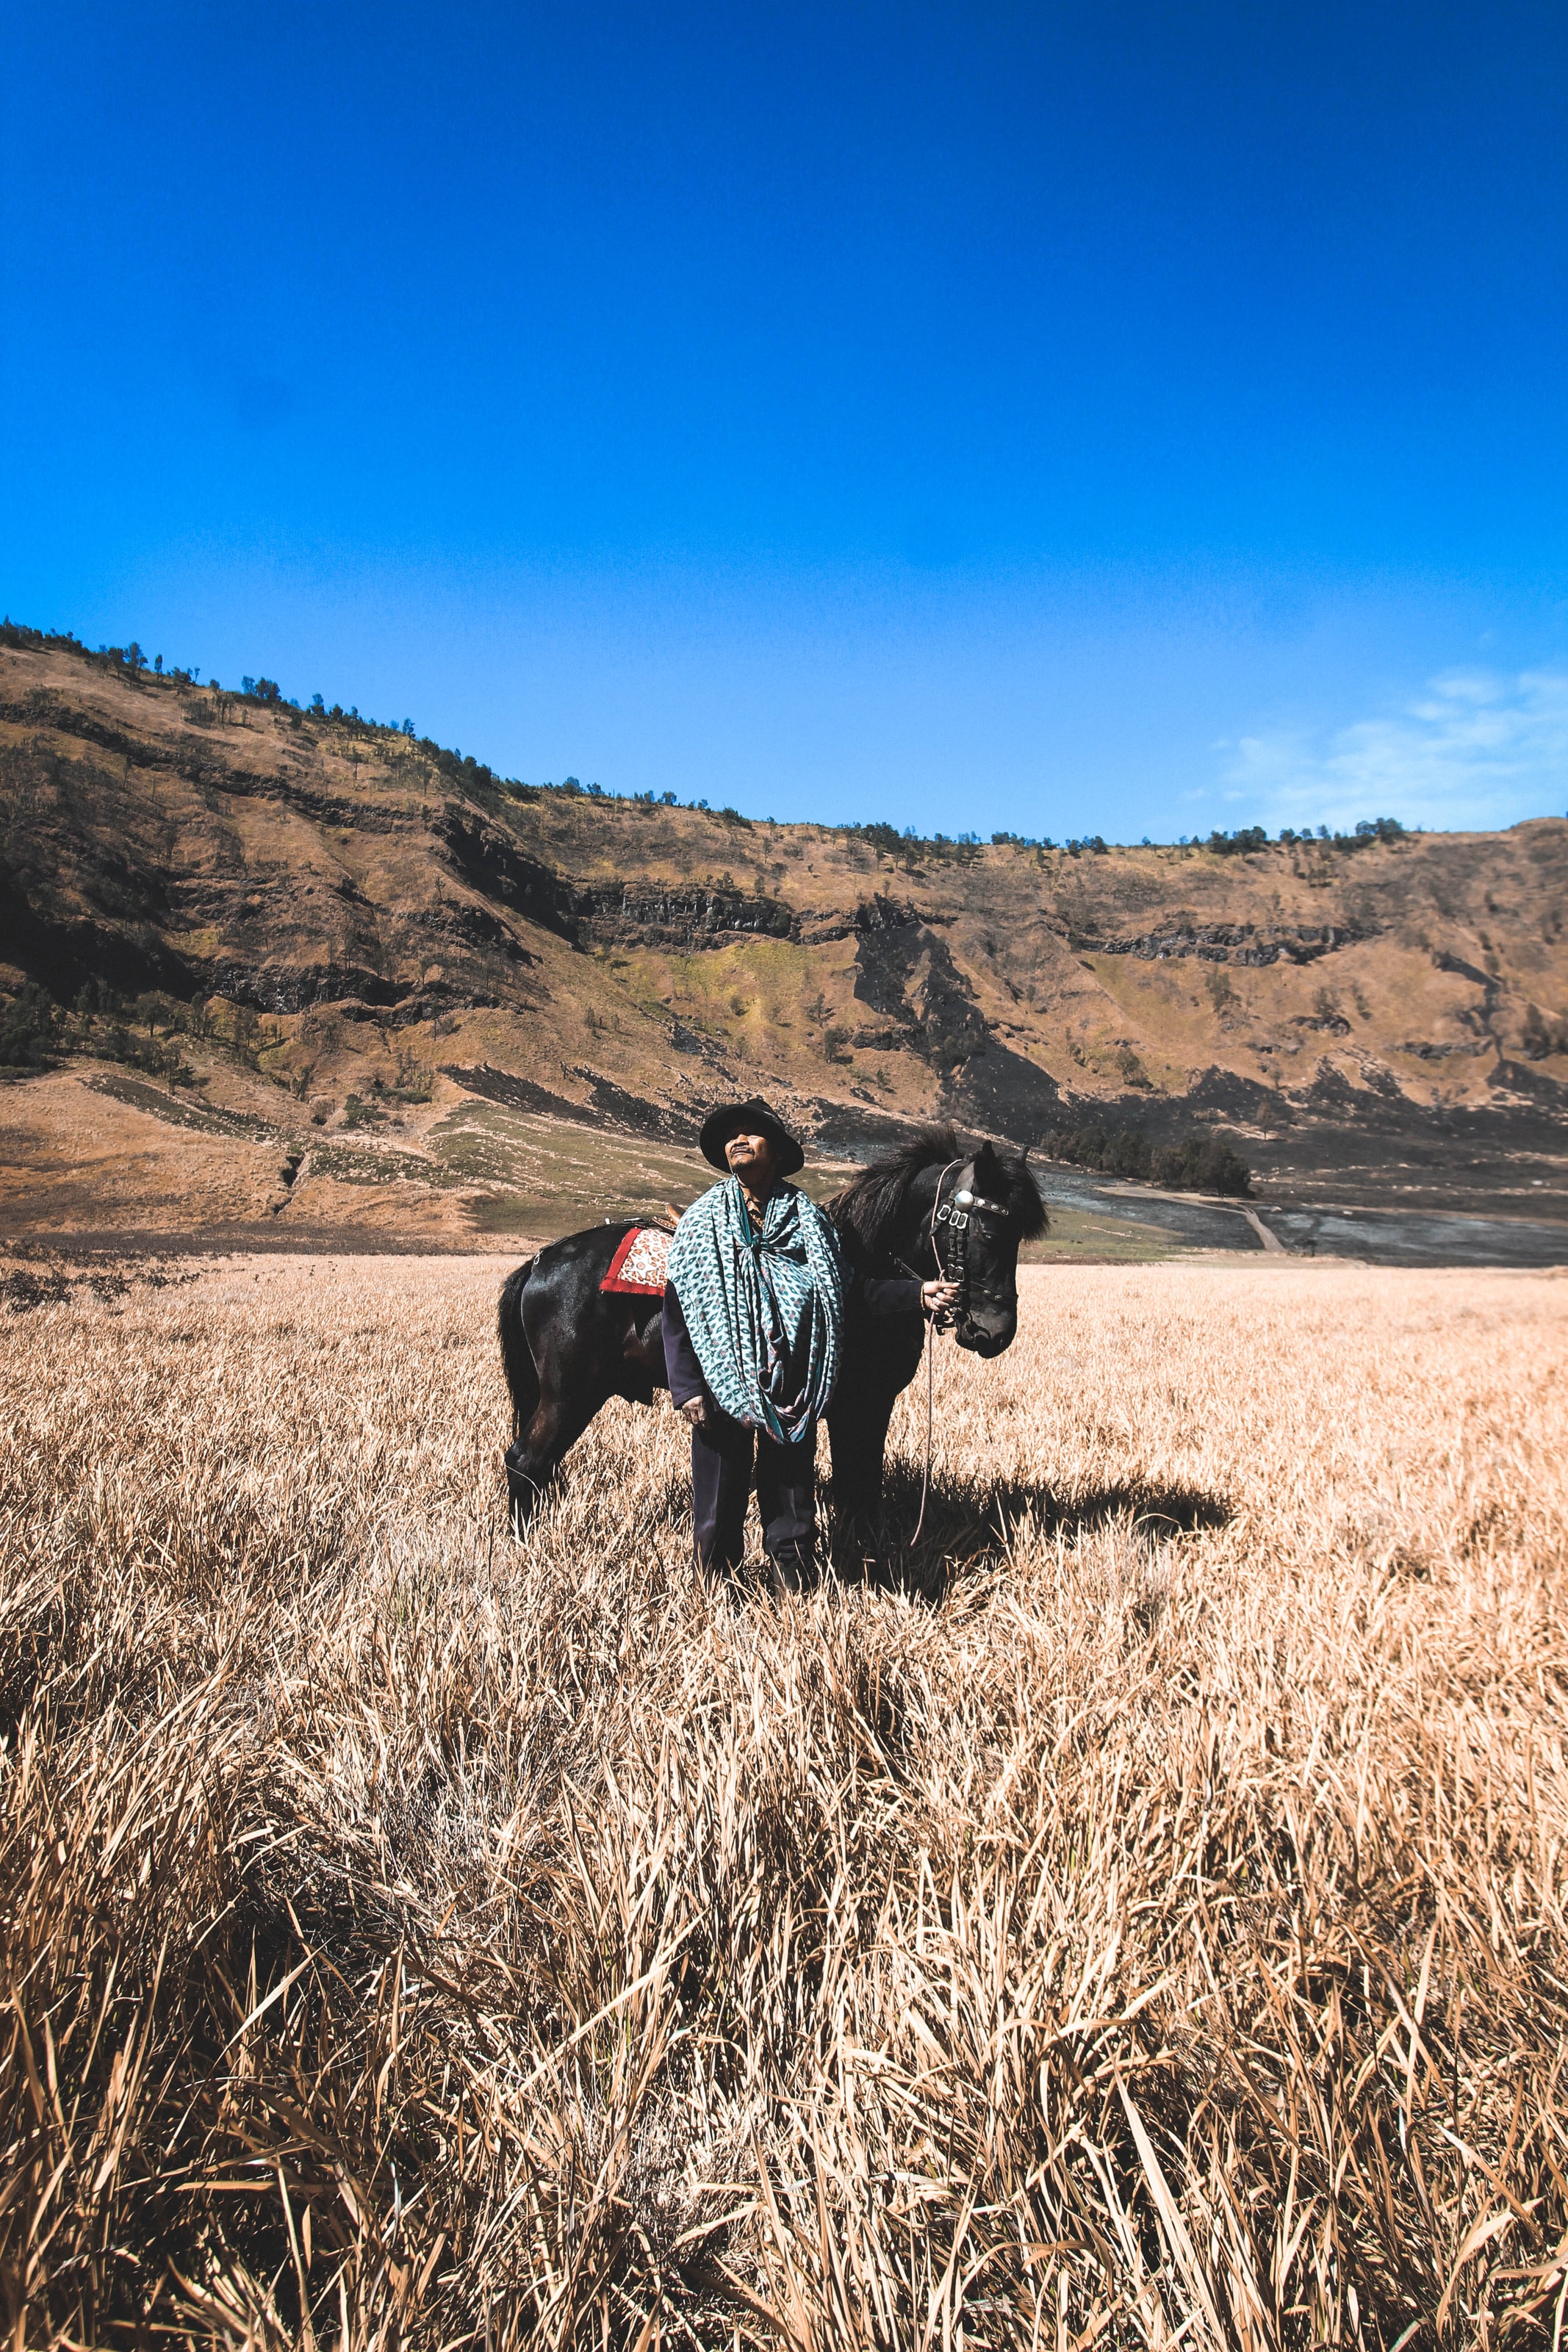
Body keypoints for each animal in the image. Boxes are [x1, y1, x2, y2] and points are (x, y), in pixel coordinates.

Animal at [496, 1133, 1048, 1552]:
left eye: (1019, 1234)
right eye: (988, 1231)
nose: (996, 1331)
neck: (864, 1264)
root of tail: (541, 1261)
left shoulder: (874, 1404)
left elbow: (864, 1482)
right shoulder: (855, 1405)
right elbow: (854, 1483)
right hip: (570, 1394)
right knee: (527, 1462)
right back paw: (526, 1547)